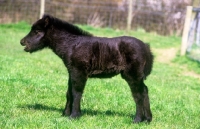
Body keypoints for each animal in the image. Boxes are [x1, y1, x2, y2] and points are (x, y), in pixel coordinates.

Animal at [20, 14, 154, 123]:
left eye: (37, 31)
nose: (22, 42)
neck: (72, 45)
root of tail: (146, 48)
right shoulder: (71, 71)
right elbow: (69, 92)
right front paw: (65, 114)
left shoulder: (79, 72)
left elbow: (76, 92)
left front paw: (74, 116)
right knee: (145, 91)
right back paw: (148, 119)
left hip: (132, 75)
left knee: (138, 95)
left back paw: (137, 120)